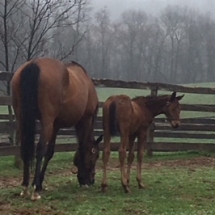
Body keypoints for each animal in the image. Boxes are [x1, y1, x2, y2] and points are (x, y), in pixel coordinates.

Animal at [10, 56, 103, 200]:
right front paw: (38, 184)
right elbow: (77, 148)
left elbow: (50, 152)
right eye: (96, 155)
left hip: (22, 118)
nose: (91, 180)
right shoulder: (84, 120)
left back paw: (25, 187)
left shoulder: (56, 125)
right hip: (46, 121)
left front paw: (39, 184)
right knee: (40, 149)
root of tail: (34, 64)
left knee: (24, 148)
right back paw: (34, 191)